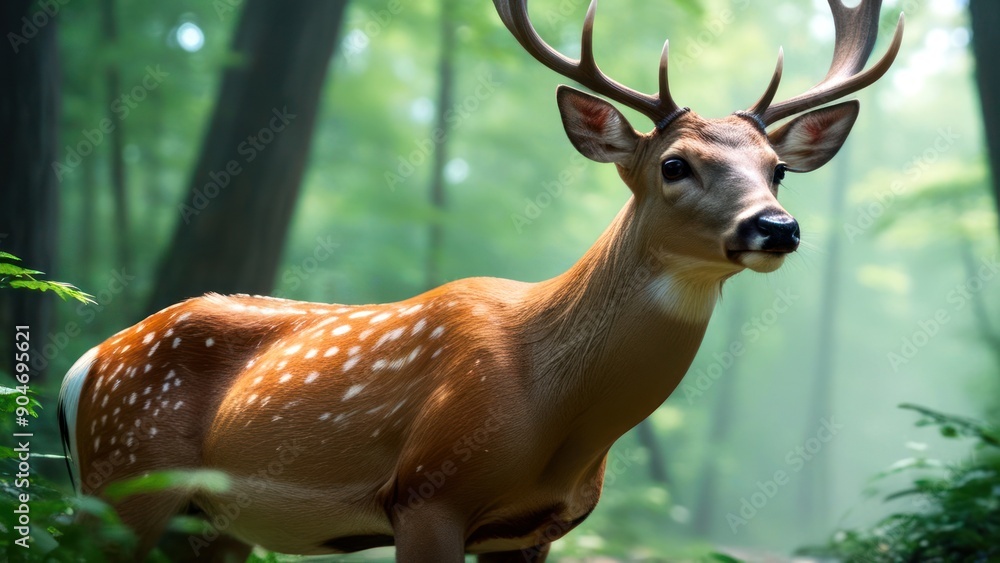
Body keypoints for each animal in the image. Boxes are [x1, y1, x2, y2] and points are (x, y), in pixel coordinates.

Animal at [58, 0, 903, 560]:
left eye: (778, 169)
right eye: (674, 164)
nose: (776, 228)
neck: (551, 406)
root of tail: (84, 366)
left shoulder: (535, 528)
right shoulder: (425, 493)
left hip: (207, 521)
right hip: (124, 480)